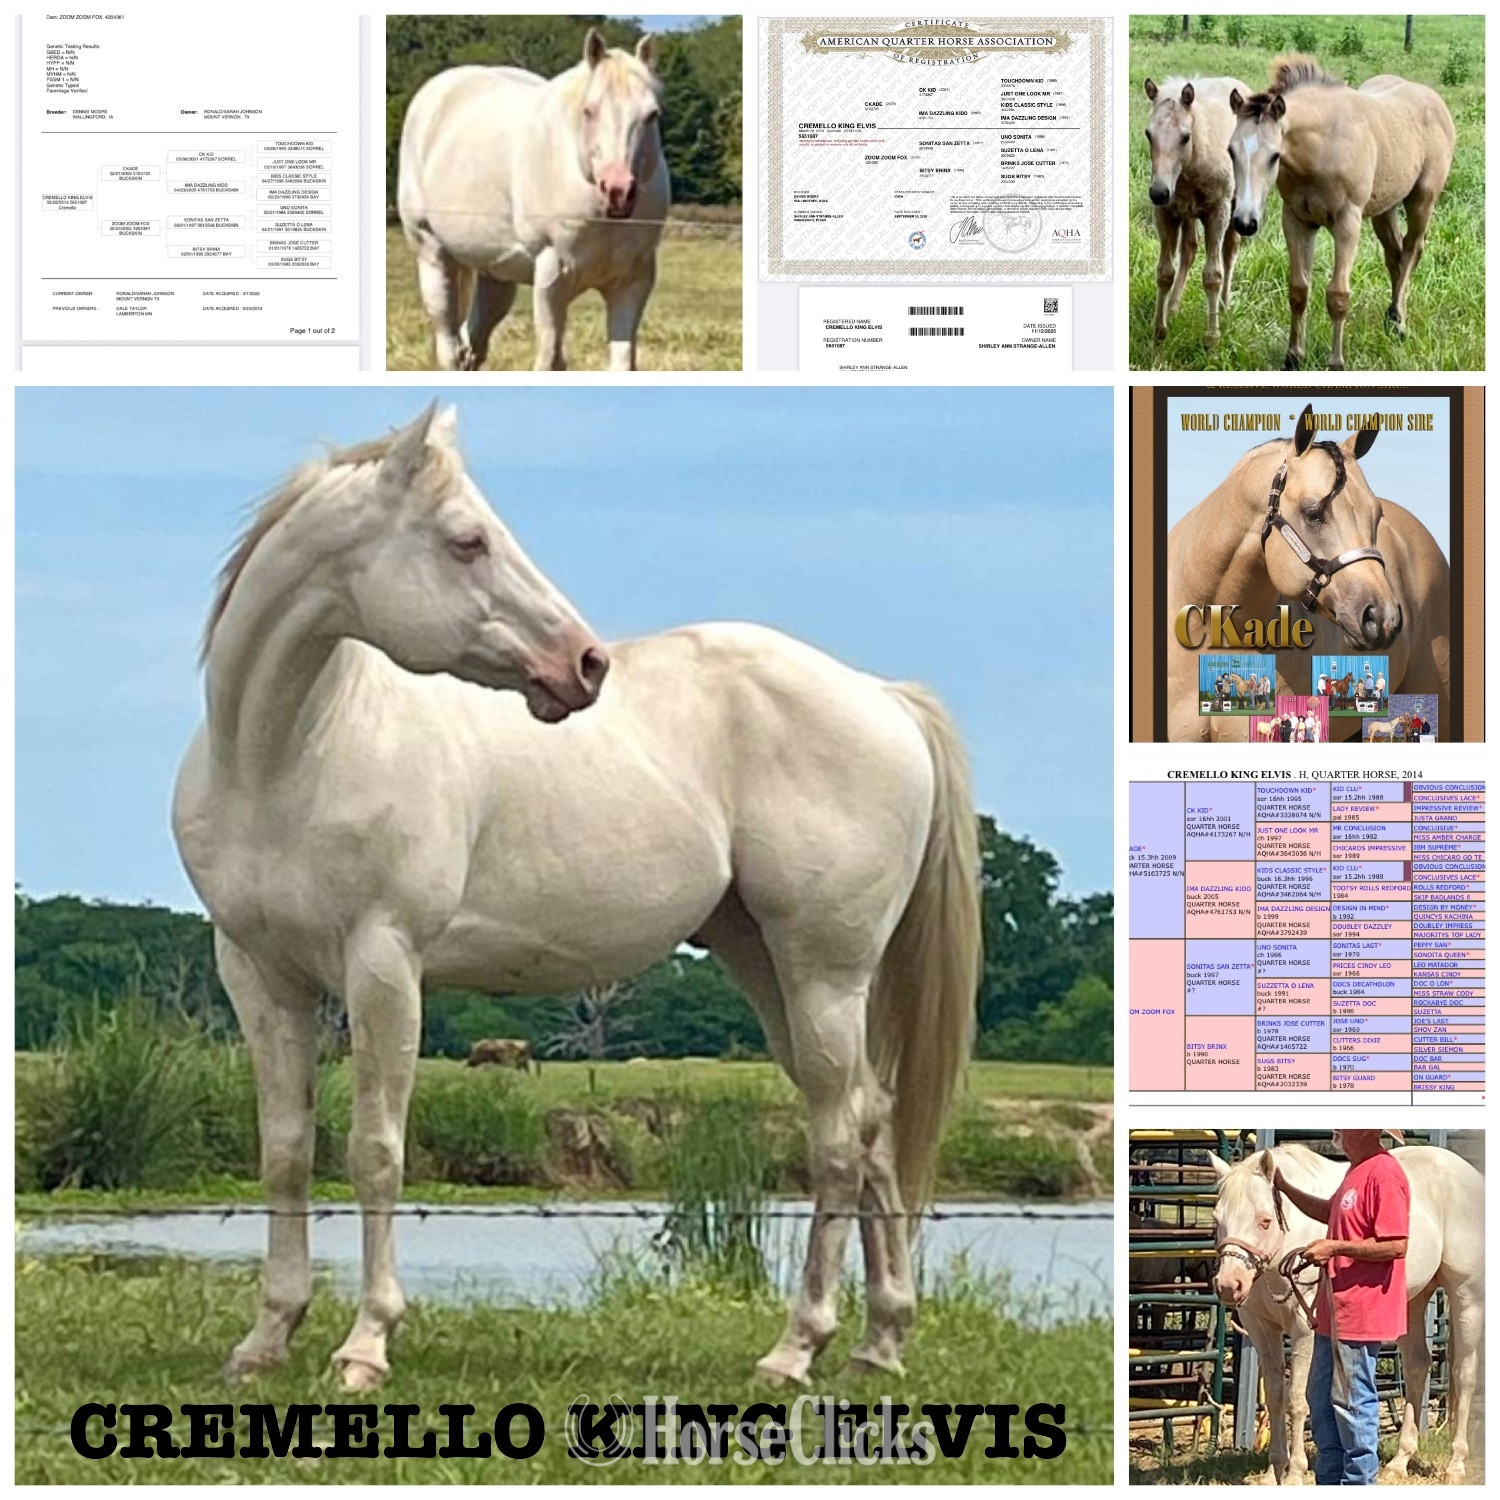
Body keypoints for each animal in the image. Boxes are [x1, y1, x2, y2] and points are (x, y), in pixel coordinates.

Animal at [172, 405, 980, 1392]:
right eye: (468, 540)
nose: (585, 663)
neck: (284, 758)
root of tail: (882, 696)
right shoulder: (259, 974)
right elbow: (285, 1152)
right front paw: (266, 1338)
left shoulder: (383, 967)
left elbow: (374, 1153)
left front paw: (365, 1345)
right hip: (774, 971)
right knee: (872, 1125)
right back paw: (880, 1341)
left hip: (824, 970)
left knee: (836, 1138)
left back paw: (796, 1348)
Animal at [398, 29, 669, 371]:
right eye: (589, 111)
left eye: (652, 115)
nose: (618, 190)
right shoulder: (551, 278)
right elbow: (549, 359)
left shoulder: (632, 282)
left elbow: (622, 363)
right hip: (433, 255)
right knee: (449, 348)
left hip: (494, 274)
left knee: (473, 345)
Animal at [1142, 76, 1250, 346]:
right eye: (1149, 134)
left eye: (1185, 137)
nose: (1158, 192)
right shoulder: (1166, 213)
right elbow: (1164, 273)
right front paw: (1159, 331)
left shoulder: (1218, 211)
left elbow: (1213, 275)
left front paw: (1212, 339)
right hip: (1187, 213)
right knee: (1189, 250)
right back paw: (1173, 307)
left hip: (1235, 203)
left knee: (1230, 251)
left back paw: (1224, 306)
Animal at [1210, 1145, 1483, 1485]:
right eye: (1217, 1219)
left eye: (1264, 1221)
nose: (1228, 1285)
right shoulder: (1260, 1328)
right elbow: (1275, 1396)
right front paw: (1273, 1471)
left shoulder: (1304, 1329)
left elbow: (1297, 1400)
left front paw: (1295, 1473)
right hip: (1413, 1300)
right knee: (1418, 1368)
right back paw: (1399, 1462)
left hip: (1467, 1296)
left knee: (1464, 1374)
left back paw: (1456, 1465)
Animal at [1228, 55, 1456, 370]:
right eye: (1230, 151)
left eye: (1275, 155)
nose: (1244, 222)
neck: (1321, 148)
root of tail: (1436, 101)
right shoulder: (1296, 220)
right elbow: (1298, 289)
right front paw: (1294, 356)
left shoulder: (1348, 223)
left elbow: (1338, 295)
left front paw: (1336, 361)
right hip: (1385, 208)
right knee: (1394, 254)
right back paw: (1390, 319)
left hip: (1422, 199)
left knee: (1412, 250)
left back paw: (1399, 322)